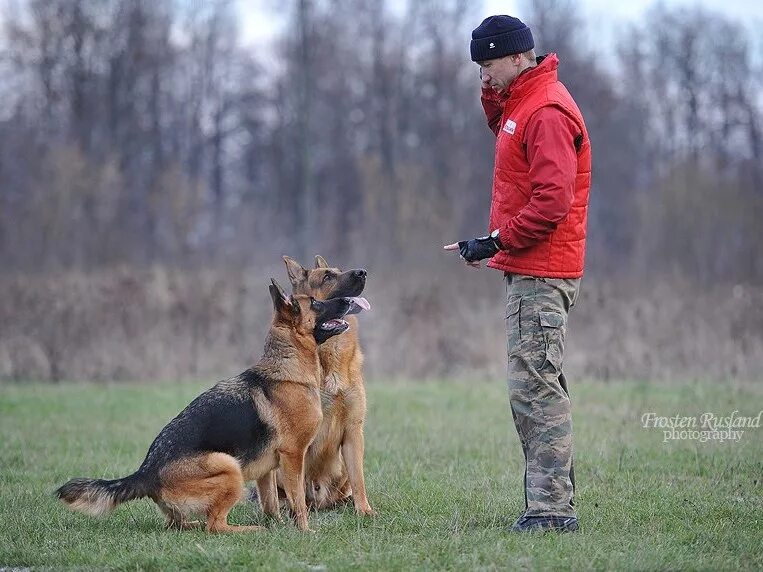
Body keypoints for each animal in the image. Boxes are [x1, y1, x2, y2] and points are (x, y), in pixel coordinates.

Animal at [56, 280, 368, 536]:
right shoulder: (293, 456)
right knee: (215, 525)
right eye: (315, 303)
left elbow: (271, 503)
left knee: (178, 523)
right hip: (229, 467)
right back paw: (249, 530)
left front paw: (279, 525)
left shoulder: (269, 468)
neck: (288, 368)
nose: (349, 301)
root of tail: (146, 473)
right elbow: (298, 501)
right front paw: (304, 531)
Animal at [268, 255, 376, 512]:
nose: (363, 272)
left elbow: (359, 480)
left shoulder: (353, 430)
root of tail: (323, 500)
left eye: (338, 270)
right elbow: (298, 483)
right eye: (327, 276)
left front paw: (364, 510)